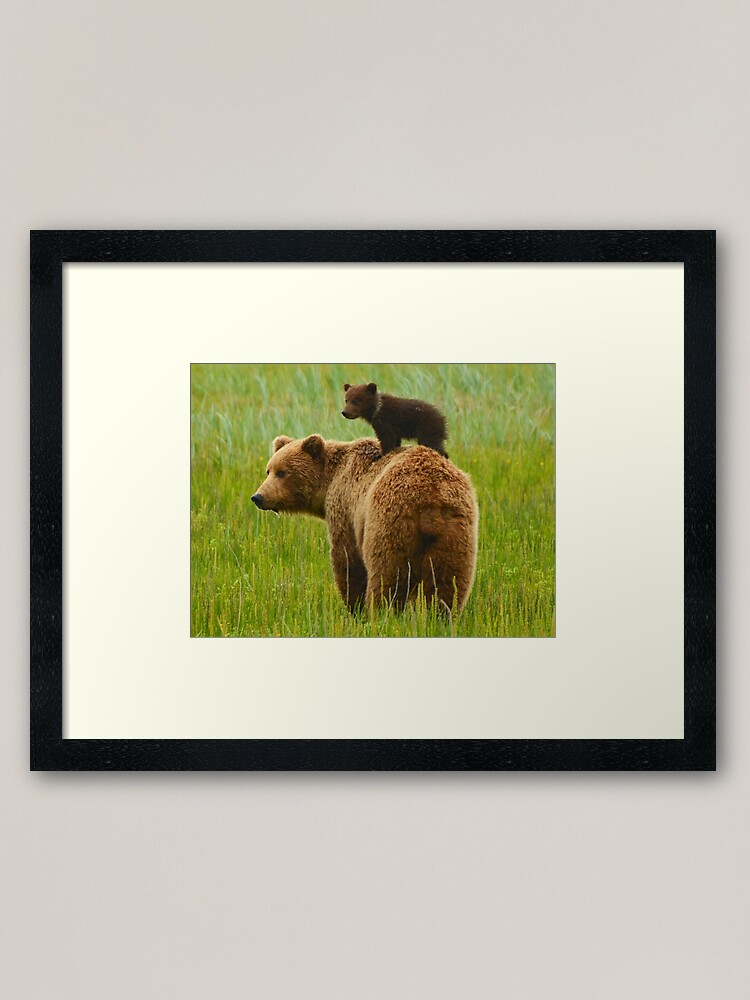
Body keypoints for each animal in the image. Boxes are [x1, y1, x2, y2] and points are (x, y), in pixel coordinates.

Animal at [251, 434, 478, 614]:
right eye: (268, 470)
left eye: (282, 472)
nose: (258, 497)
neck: (329, 482)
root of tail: (431, 497)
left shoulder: (345, 507)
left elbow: (346, 558)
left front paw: (354, 607)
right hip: (456, 531)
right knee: (448, 581)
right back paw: (440, 616)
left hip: (388, 523)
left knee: (387, 575)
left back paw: (381, 614)